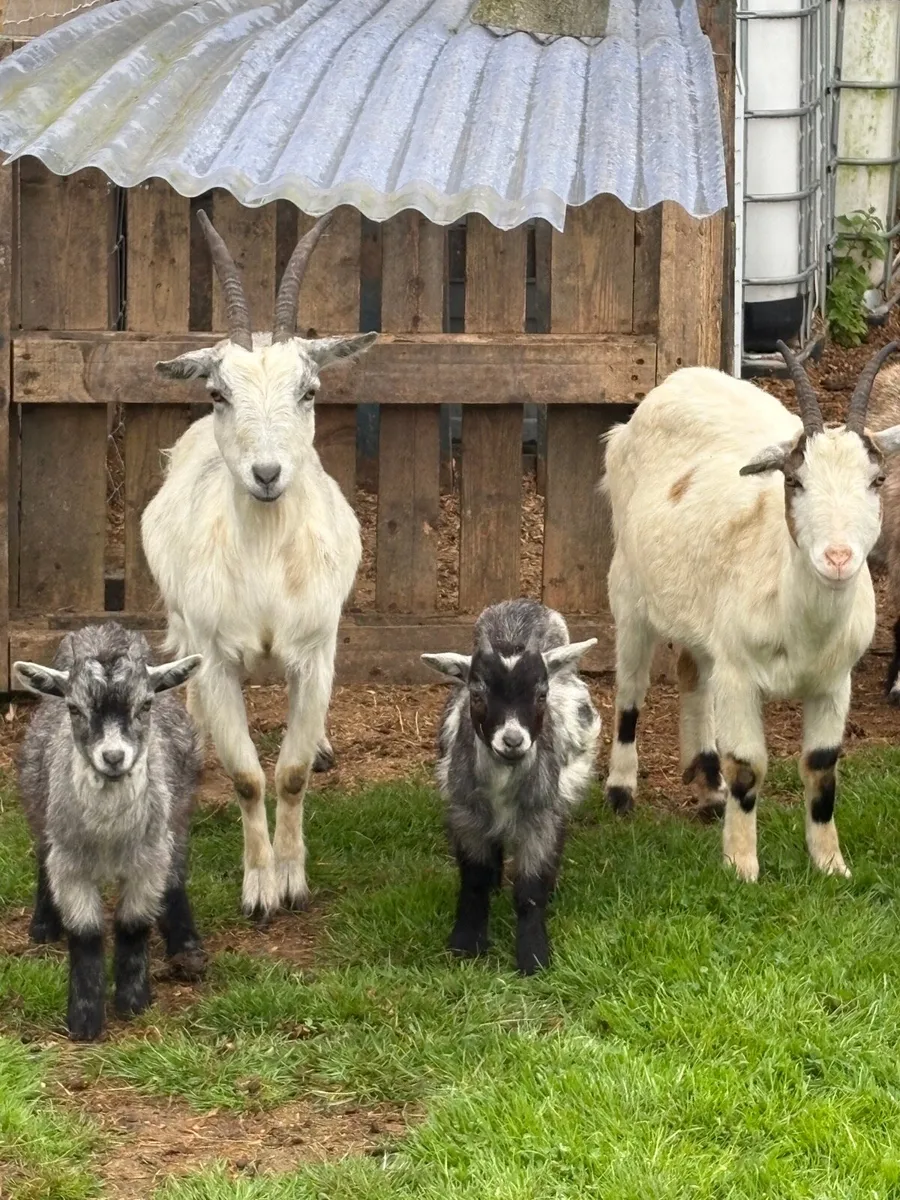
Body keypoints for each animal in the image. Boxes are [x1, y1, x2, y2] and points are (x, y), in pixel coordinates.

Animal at [14, 623, 204, 1041]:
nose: (113, 757)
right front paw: (84, 1019)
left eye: (145, 705)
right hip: (39, 806)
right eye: (74, 708)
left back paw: (187, 945)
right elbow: (85, 934)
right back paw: (43, 924)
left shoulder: (149, 861)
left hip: (178, 812)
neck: (108, 837)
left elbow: (132, 925)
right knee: (42, 859)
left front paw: (133, 1002)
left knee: (176, 873)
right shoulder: (69, 865)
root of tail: (104, 629)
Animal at [141, 211, 375, 921]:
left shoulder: (316, 651)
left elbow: (291, 773)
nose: (266, 475)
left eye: (310, 390)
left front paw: (294, 879)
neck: (269, 567)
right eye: (219, 391)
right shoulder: (217, 654)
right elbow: (247, 777)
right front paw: (260, 888)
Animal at [422, 600, 599, 974]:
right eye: (477, 695)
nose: (513, 740)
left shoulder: (541, 818)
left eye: (541, 695)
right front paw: (466, 943)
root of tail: (524, 603)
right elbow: (474, 878)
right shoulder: (466, 815)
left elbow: (530, 889)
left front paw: (534, 956)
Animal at [603, 341, 900, 882]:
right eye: (795, 480)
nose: (838, 558)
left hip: (700, 617)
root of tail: (677, 380)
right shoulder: (740, 674)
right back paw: (621, 791)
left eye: (878, 479)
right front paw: (741, 864)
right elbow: (747, 764)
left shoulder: (834, 682)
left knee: (692, 671)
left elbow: (822, 765)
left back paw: (708, 787)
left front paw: (830, 864)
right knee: (631, 686)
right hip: (629, 587)